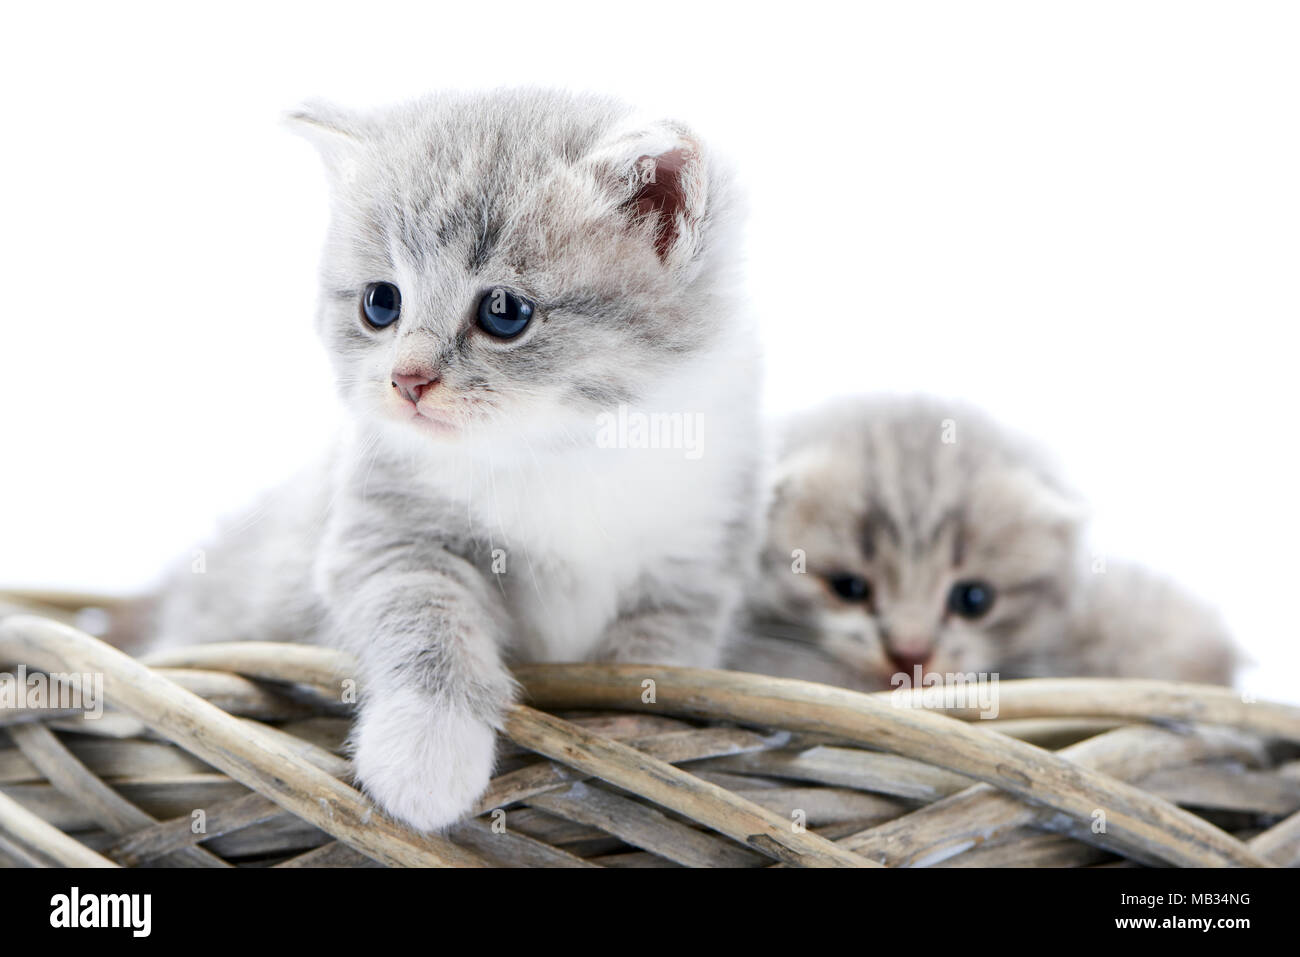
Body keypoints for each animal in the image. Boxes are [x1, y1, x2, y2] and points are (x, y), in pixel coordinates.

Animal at [147, 93, 759, 832]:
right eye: (380, 302)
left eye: (504, 311)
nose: (407, 380)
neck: (559, 450)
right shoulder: (384, 534)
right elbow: (424, 615)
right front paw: (424, 754)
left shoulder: (695, 561)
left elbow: (658, 656)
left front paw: (628, 736)